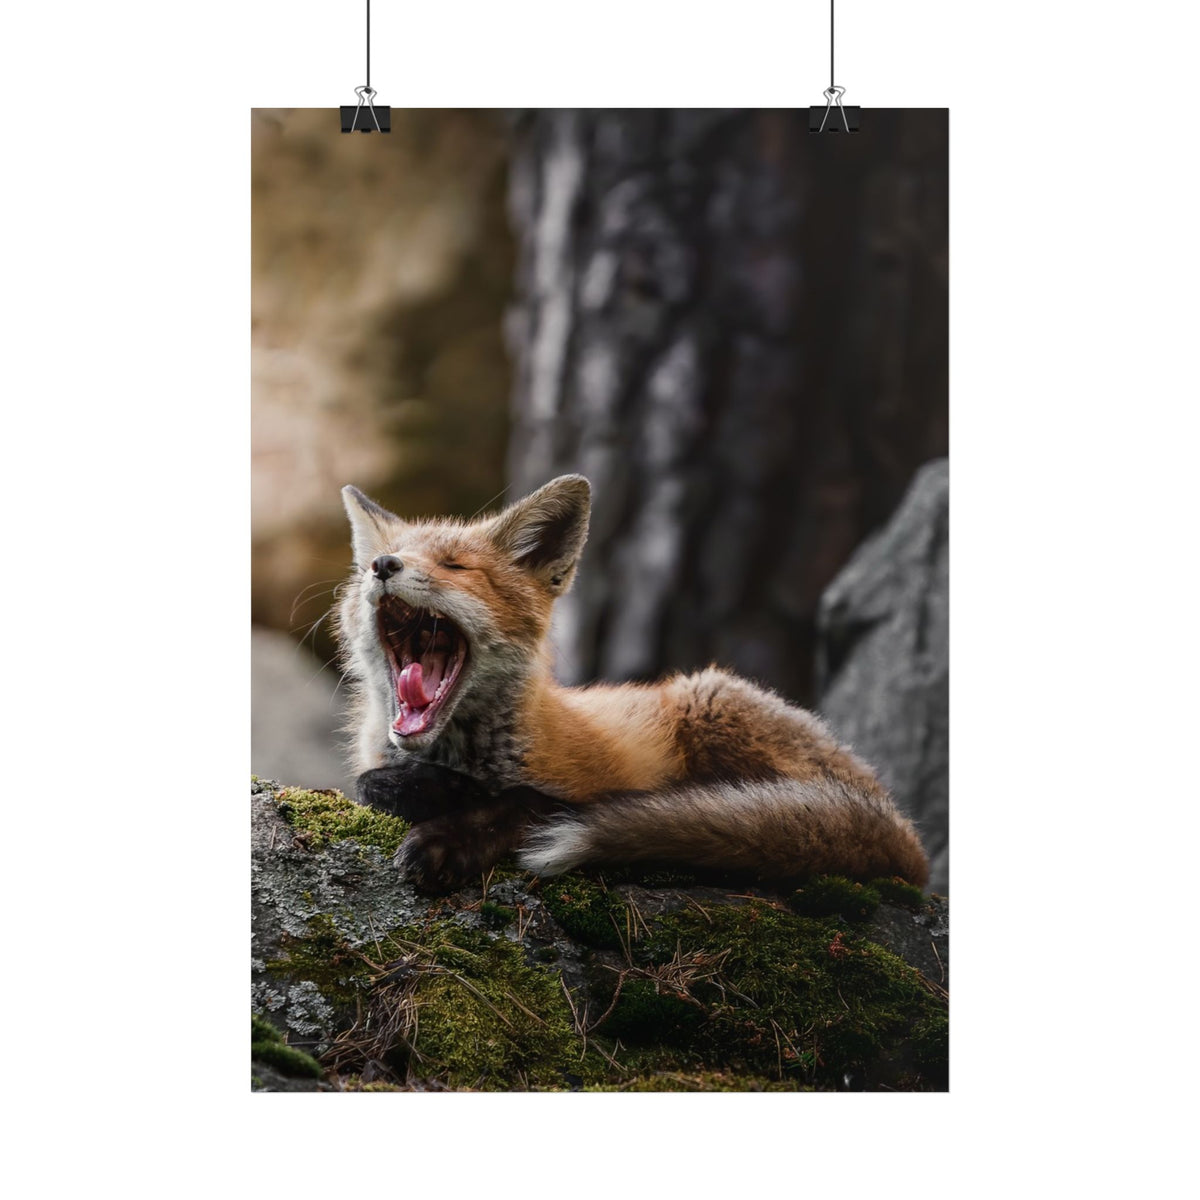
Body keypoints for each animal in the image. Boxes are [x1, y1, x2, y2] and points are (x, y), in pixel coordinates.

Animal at [335, 474, 929, 895]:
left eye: (455, 566)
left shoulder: (587, 785)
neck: (458, 756)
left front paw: (448, 835)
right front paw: (422, 793)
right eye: (367, 569)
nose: (383, 565)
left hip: (710, 701)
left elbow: (526, 802)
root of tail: (904, 828)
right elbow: (369, 783)